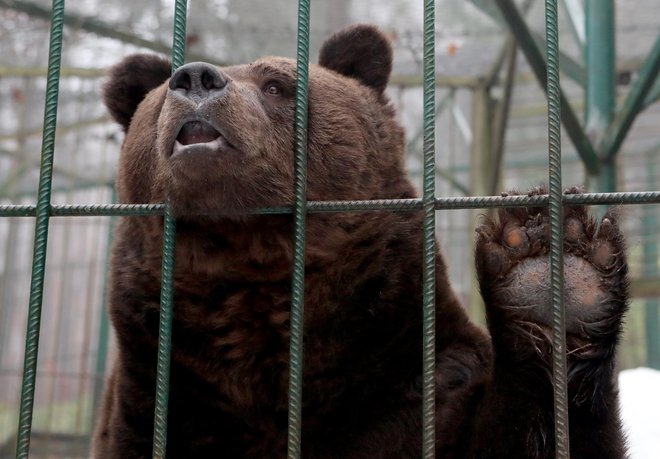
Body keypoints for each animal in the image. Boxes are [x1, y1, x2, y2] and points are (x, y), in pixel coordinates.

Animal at [94, 26, 628, 459]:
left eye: (275, 85)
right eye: (162, 93)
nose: (196, 77)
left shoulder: (412, 383)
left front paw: (547, 266)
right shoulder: (163, 400)